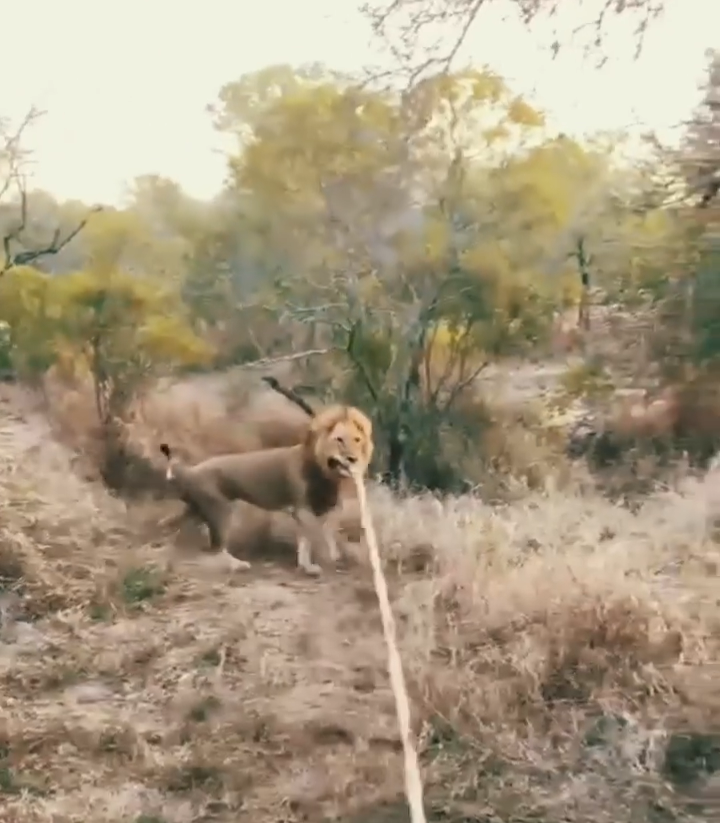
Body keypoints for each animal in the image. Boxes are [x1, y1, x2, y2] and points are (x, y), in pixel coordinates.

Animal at [160, 404, 374, 572]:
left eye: (357, 439)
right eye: (339, 439)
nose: (352, 459)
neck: (327, 473)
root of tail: (191, 471)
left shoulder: (328, 505)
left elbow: (327, 529)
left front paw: (330, 555)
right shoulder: (303, 509)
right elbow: (310, 538)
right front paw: (310, 566)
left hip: (196, 510)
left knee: (177, 534)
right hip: (221, 510)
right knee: (217, 547)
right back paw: (238, 565)